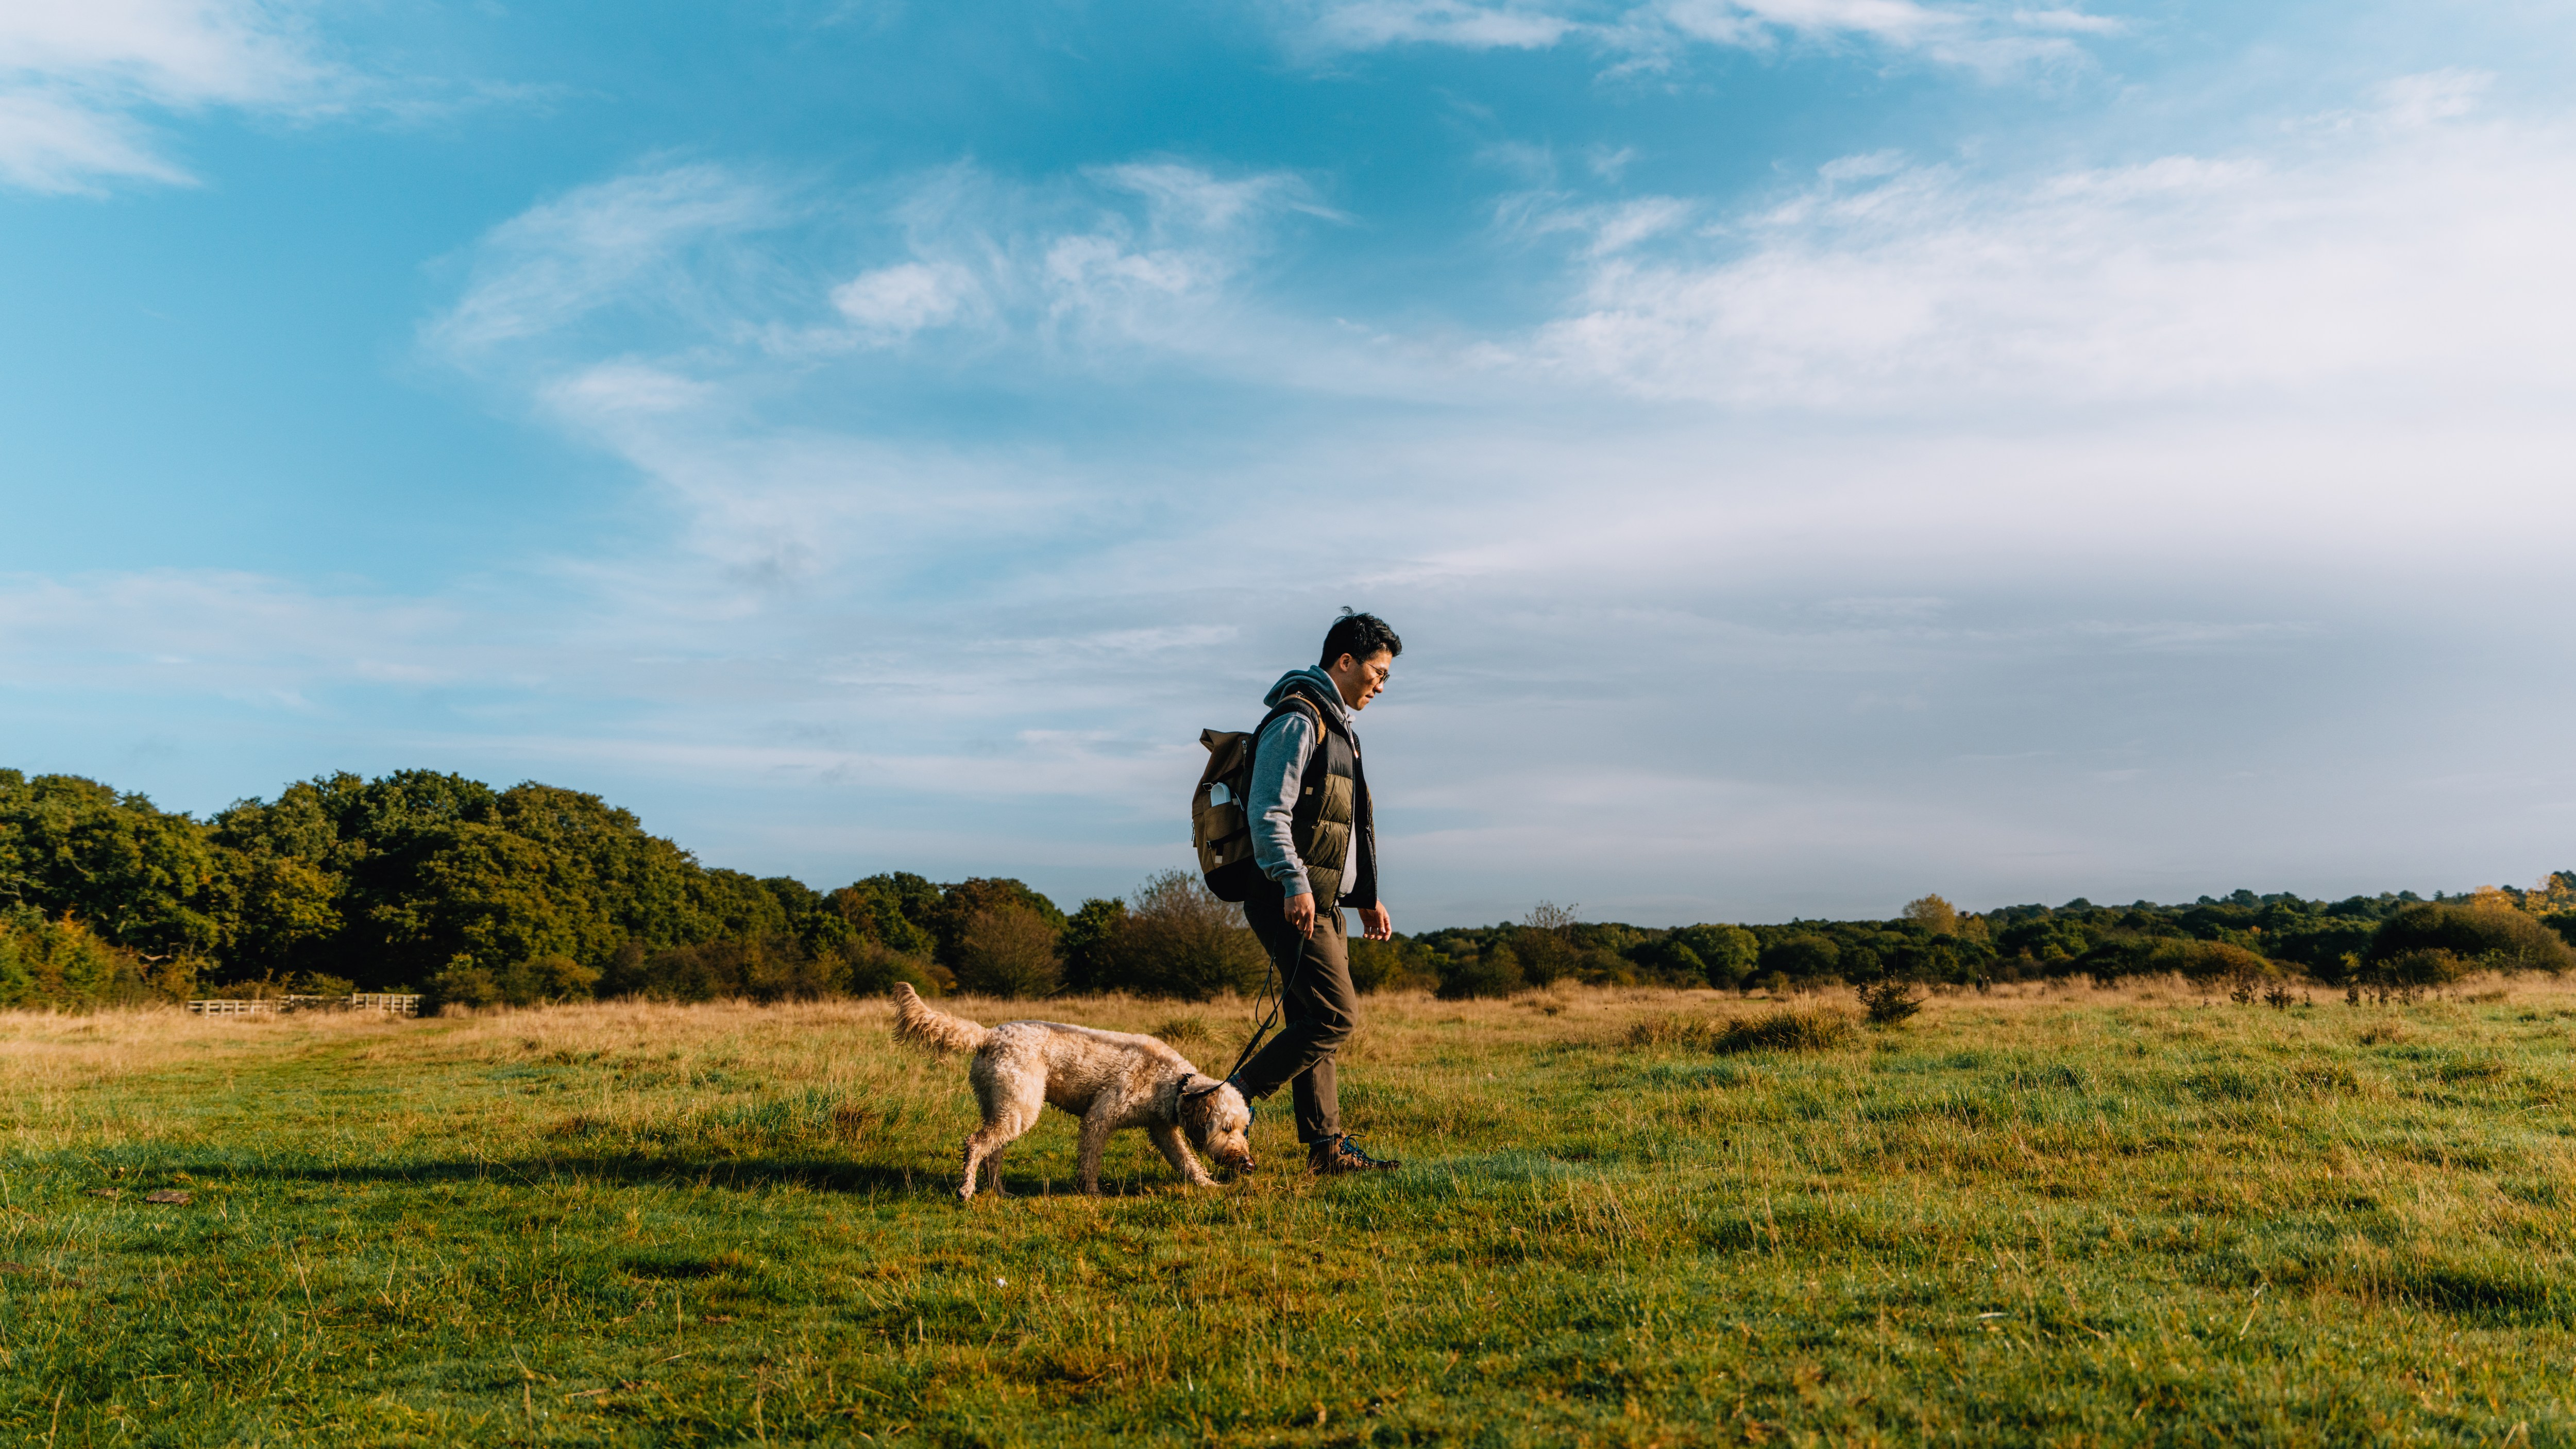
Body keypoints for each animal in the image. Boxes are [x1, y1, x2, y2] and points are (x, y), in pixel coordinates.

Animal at [891, 980, 1262, 1196]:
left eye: (1244, 1128)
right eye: (1225, 1128)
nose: (1248, 1164)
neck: (1171, 1082)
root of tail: (989, 1035)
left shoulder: (1162, 1130)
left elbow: (1185, 1161)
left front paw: (1207, 1184)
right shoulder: (1099, 1118)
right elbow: (1090, 1161)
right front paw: (1092, 1192)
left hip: (1004, 1109)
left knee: (992, 1152)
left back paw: (999, 1192)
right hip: (1019, 1109)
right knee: (975, 1144)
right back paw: (966, 1190)